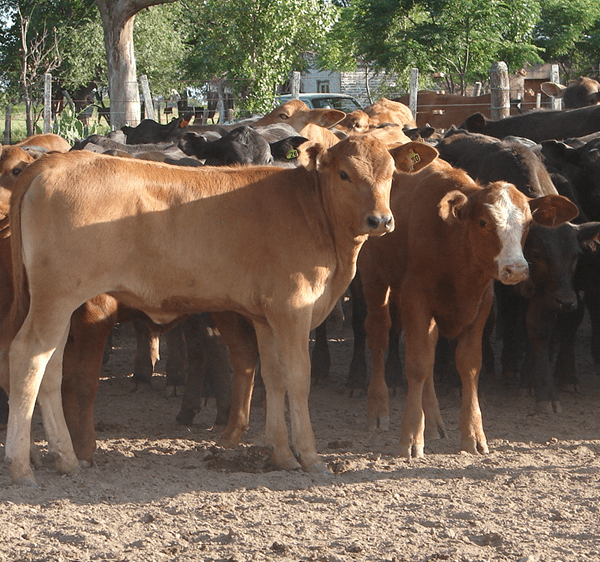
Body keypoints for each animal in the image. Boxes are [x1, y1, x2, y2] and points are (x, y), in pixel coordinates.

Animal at [358, 156, 580, 456]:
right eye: (484, 222)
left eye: (528, 224)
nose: (516, 269)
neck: (454, 241)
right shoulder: (415, 298)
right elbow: (417, 364)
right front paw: (411, 436)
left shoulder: (481, 303)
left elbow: (469, 365)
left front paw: (473, 434)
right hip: (374, 279)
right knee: (379, 334)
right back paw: (378, 411)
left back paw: (434, 421)